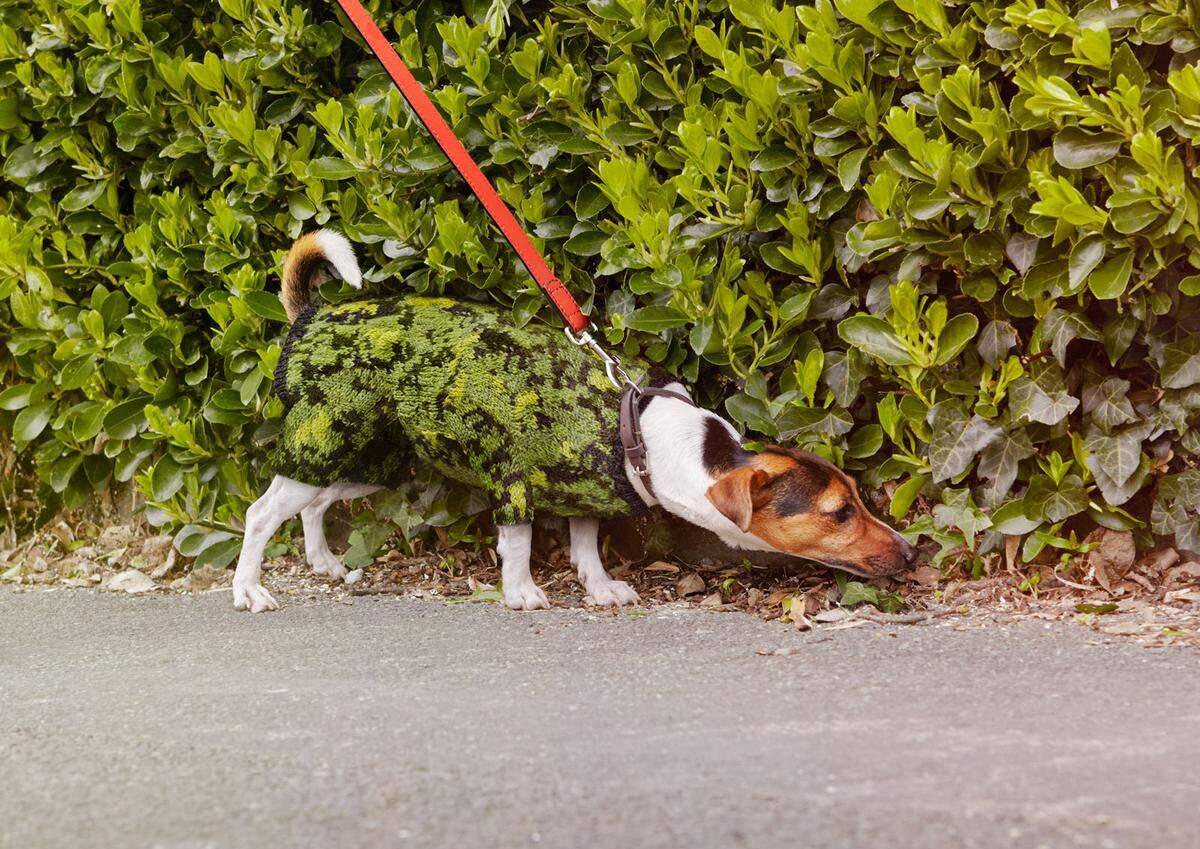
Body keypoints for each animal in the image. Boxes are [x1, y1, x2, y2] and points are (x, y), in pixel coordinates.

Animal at [229, 232, 912, 613]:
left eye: (856, 499)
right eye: (838, 514)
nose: (911, 551)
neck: (646, 433)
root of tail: (311, 318)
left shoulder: (588, 494)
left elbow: (586, 544)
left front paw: (601, 588)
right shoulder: (515, 488)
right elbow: (520, 544)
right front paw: (521, 591)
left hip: (373, 461)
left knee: (316, 504)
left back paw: (323, 562)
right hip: (325, 441)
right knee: (260, 514)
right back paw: (249, 590)